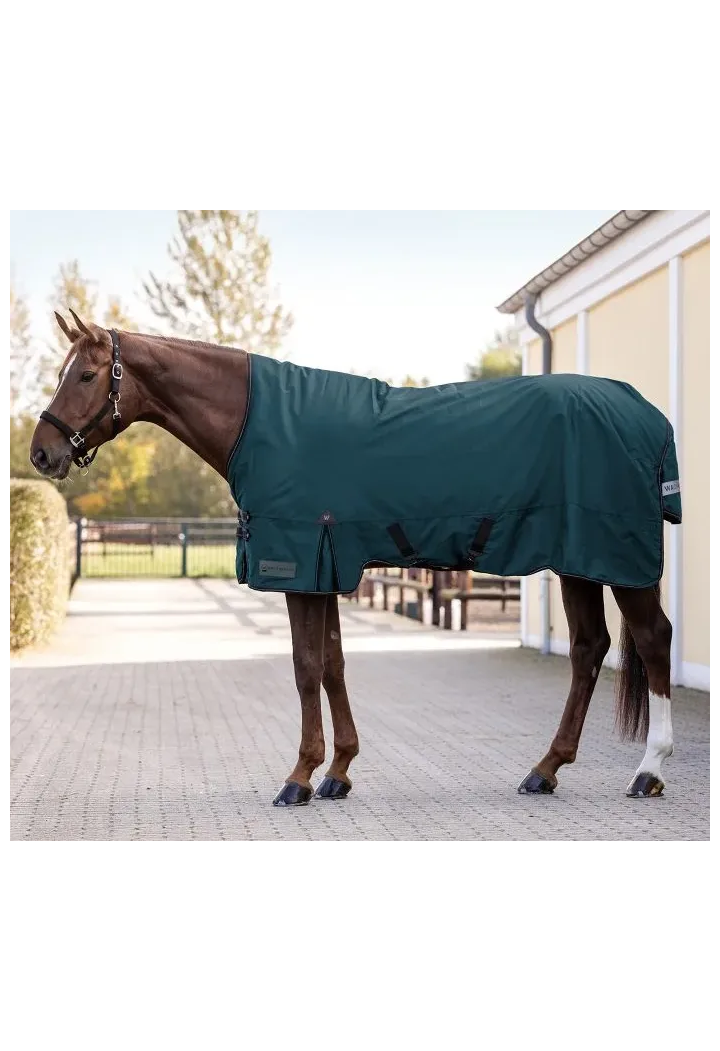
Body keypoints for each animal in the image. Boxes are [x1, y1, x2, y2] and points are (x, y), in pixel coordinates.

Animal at [30, 310, 677, 806]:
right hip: (580, 561)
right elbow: (334, 666)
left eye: (85, 375)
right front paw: (338, 772)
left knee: (653, 639)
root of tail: (644, 413)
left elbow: (305, 667)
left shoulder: (299, 568)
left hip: (619, 560)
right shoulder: (329, 568)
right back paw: (545, 770)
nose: (42, 453)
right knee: (588, 649)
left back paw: (648, 770)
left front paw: (298, 778)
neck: (258, 422)